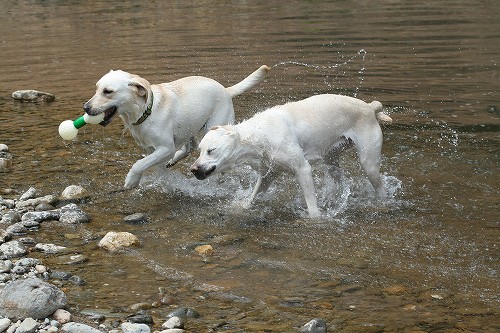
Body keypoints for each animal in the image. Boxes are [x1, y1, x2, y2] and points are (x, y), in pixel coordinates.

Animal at [83, 65, 270, 189]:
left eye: (108, 92)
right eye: (97, 88)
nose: (85, 107)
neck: (145, 112)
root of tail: (226, 90)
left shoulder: (165, 148)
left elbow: (139, 164)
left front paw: (131, 181)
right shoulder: (151, 149)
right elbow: (152, 166)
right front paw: (162, 181)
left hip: (211, 127)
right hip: (188, 127)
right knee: (189, 147)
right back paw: (173, 160)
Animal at [189, 94, 392, 218]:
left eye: (211, 150)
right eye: (199, 150)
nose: (193, 169)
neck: (260, 136)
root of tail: (370, 107)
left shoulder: (303, 169)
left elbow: (311, 204)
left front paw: (316, 219)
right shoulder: (268, 174)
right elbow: (253, 196)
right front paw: (241, 208)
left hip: (368, 162)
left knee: (379, 186)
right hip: (331, 159)